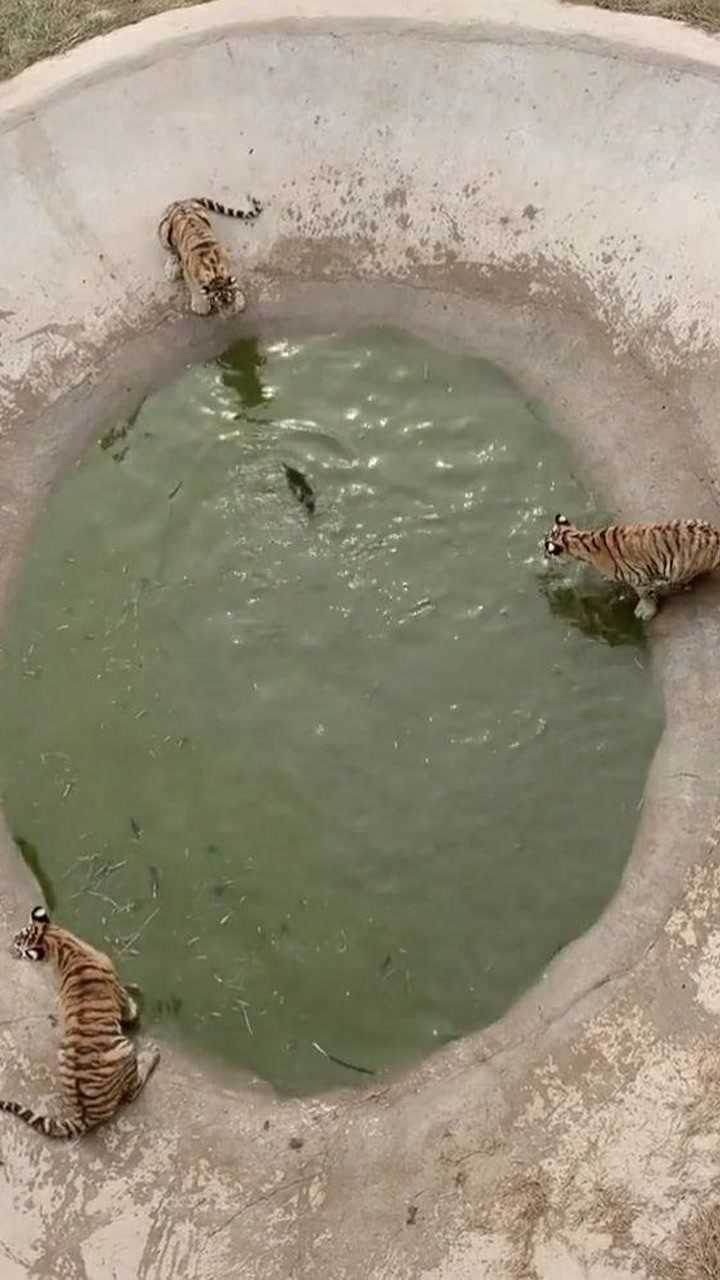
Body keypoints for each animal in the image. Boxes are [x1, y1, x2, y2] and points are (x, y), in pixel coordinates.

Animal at [0, 907, 159, 1139]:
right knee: (134, 1090)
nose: (9, 950)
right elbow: (130, 1009)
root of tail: (85, 1114)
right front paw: (136, 1000)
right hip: (126, 1050)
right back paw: (151, 1052)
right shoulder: (119, 995)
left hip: (64, 1051)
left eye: (17, 943)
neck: (62, 944)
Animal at [544, 513, 720, 621]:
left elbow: (645, 595)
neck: (579, 539)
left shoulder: (638, 577)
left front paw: (645, 611)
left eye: (547, 550)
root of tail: (715, 536)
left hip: (679, 567)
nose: (543, 555)